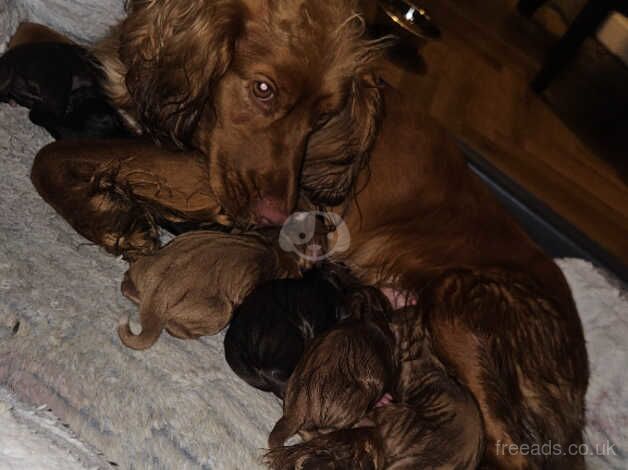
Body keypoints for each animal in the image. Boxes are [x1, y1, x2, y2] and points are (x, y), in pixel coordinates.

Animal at [118, 229, 300, 350]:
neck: (274, 252)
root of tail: (157, 292)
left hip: (142, 264)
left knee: (126, 284)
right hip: (221, 310)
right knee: (172, 326)